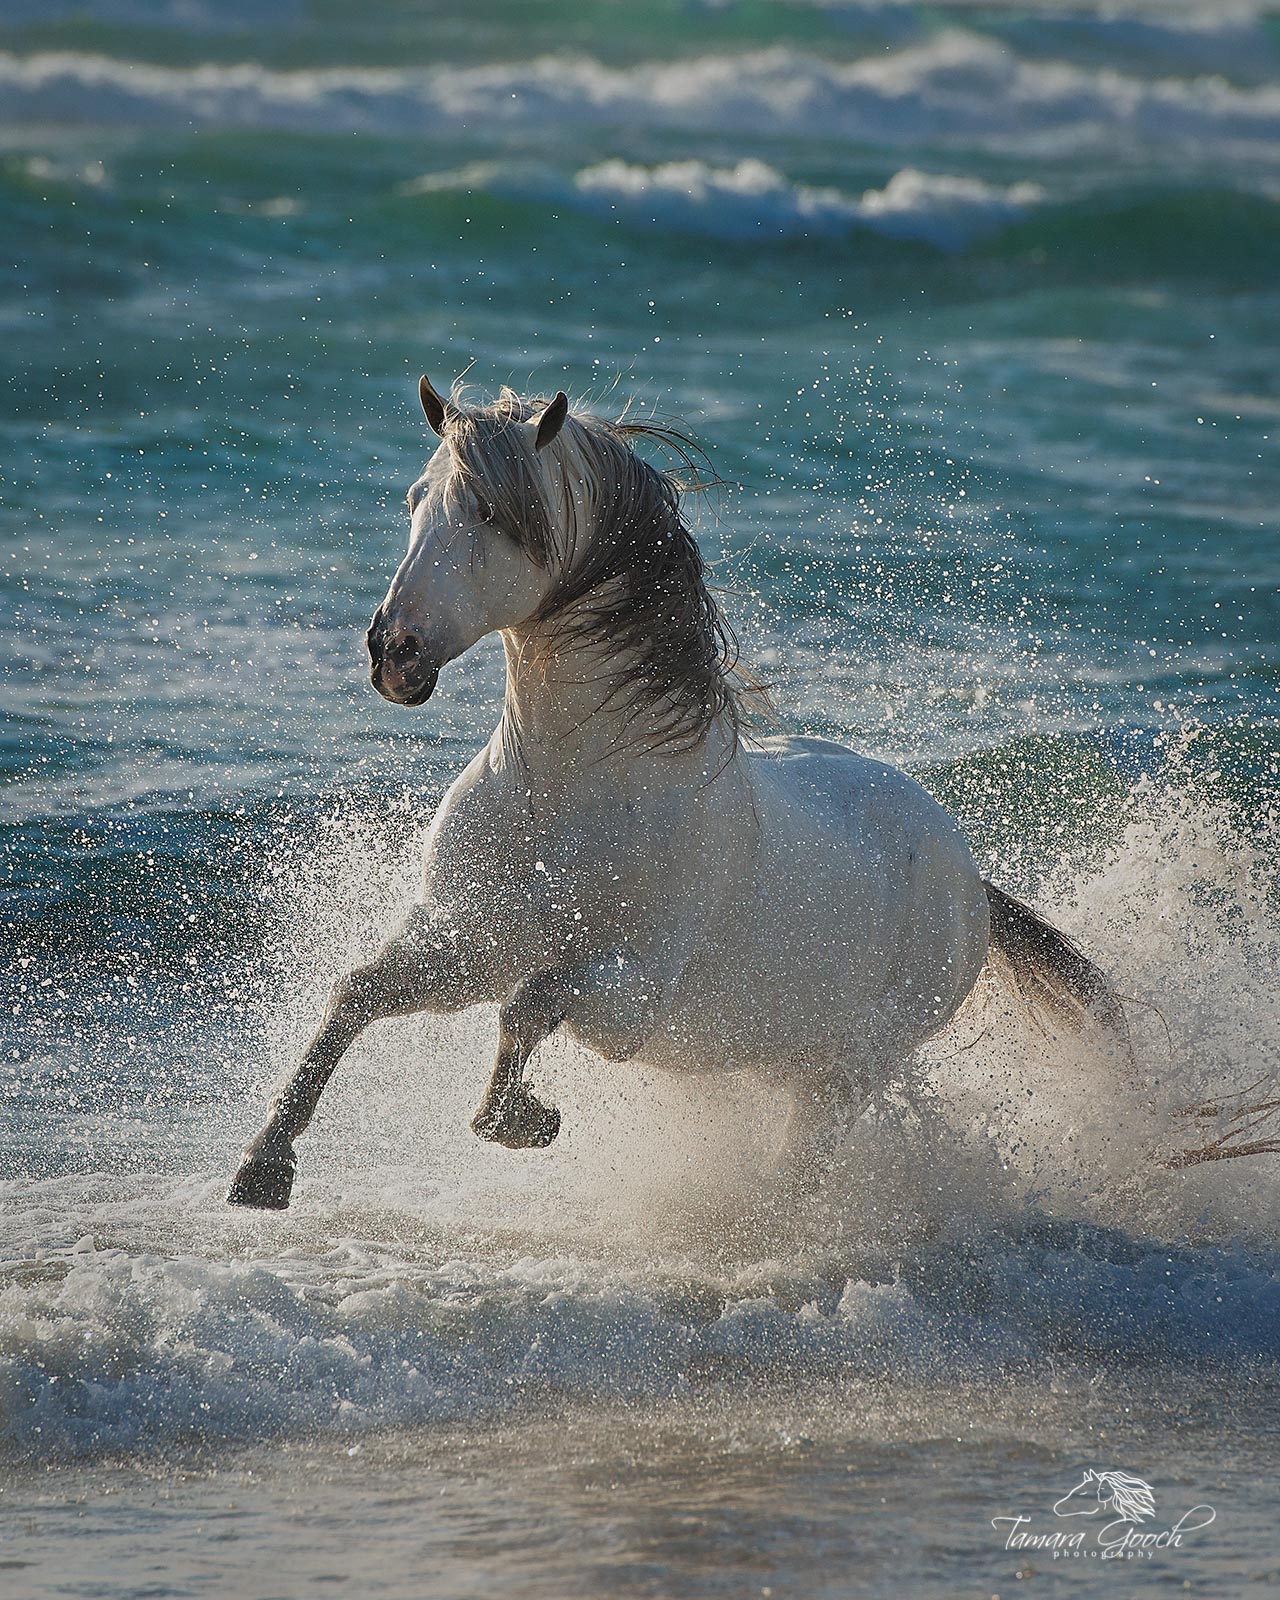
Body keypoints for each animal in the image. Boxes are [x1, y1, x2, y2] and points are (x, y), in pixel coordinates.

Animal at [227, 377, 1152, 1209]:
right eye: (416, 498)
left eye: (491, 513)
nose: (394, 653)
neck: (570, 797)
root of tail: (970, 881)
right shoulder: (472, 941)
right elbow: (358, 992)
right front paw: (264, 1165)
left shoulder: (629, 994)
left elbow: (531, 1003)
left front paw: (522, 1120)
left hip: (849, 1069)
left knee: (799, 1167)